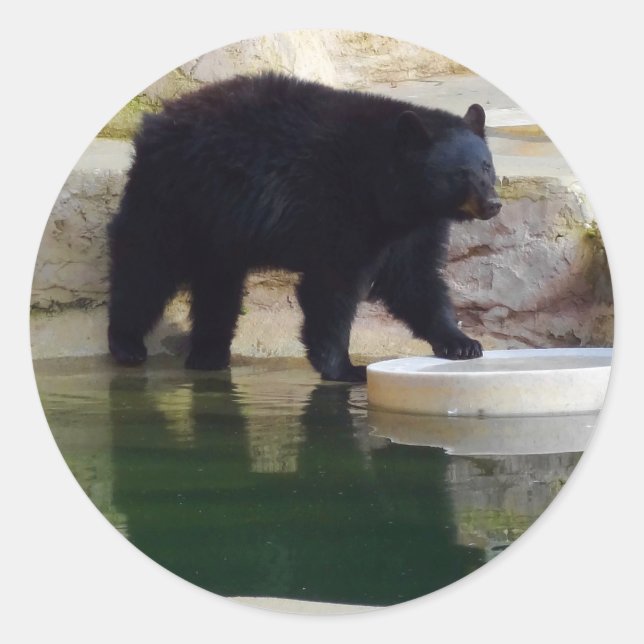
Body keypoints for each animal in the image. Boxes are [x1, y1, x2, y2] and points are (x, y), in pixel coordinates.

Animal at [107, 72, 501, 382]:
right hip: (176, 195)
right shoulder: (339, 207)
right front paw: (345, 367)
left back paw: (209, 353)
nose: (493, 204)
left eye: (486, 166)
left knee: (218, 283)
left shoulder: (414, 225)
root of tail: (157, 121)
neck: (387, 187)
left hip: (217, 223)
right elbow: (331, 285)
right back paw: (127, 344)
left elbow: (415, 278)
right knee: (146, 265)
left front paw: (461, 343)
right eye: (460, 174)